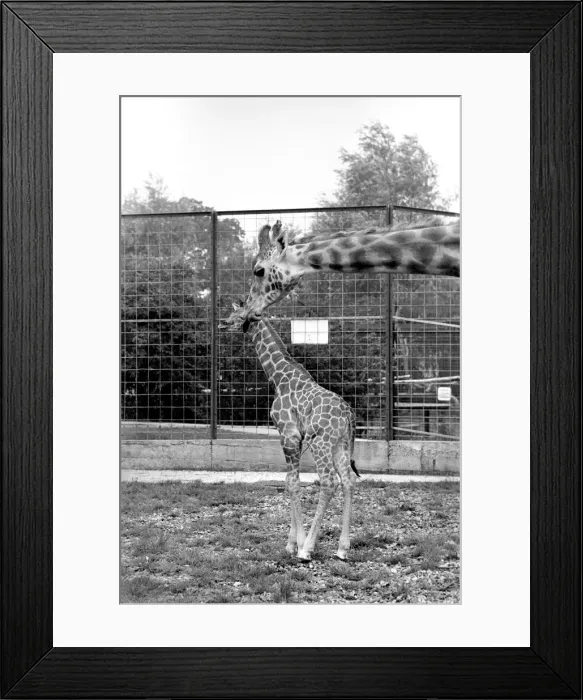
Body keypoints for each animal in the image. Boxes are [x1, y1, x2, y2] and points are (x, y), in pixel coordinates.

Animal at [219, 303, 360, 562]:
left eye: (239, 315)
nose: (223, 323)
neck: (279, 378)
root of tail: (349, 414)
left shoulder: (288, 434)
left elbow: (292, 483)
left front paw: (298, 545)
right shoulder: (296, 438)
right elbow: (290, 481)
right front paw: (290, 544)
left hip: (321, 442)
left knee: (328, 482)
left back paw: (308, 550)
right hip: (340, 444)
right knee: (348, 480)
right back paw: (342, 549)